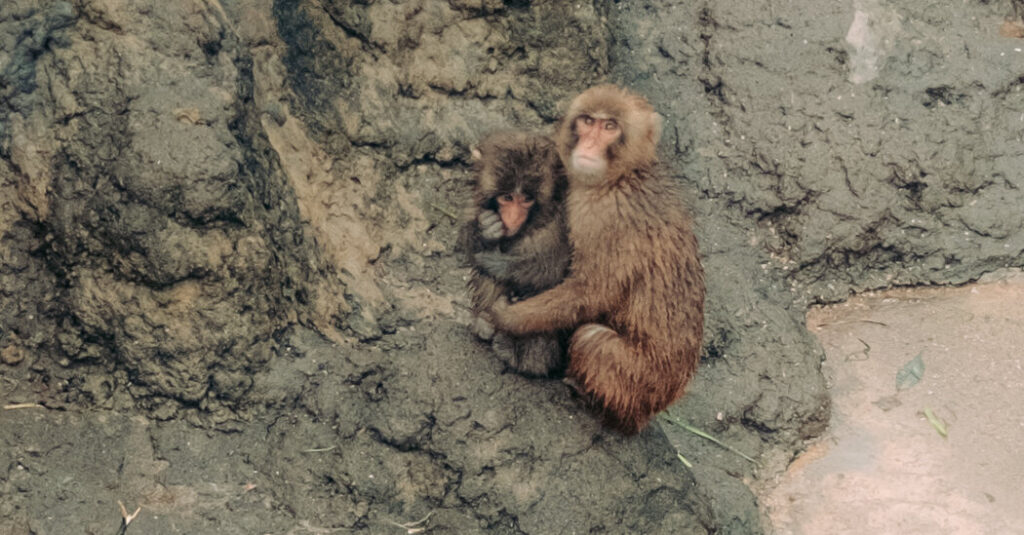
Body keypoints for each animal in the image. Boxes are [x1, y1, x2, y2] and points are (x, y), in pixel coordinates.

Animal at [460, 131, 572, 377]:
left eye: (527, 199)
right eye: (507, 198)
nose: (512, 218)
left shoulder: (561, 223)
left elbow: (550, 269)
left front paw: (495, 262)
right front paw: (485, 230)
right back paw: (484, 323)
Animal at [487, 85, 705, 434]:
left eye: (609, 127)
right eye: (588, 121)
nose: (588, 144)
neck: (620, 177)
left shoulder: (605, 218)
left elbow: (591, 291)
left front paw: (507, 317)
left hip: (638, 385)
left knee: (592, 339)